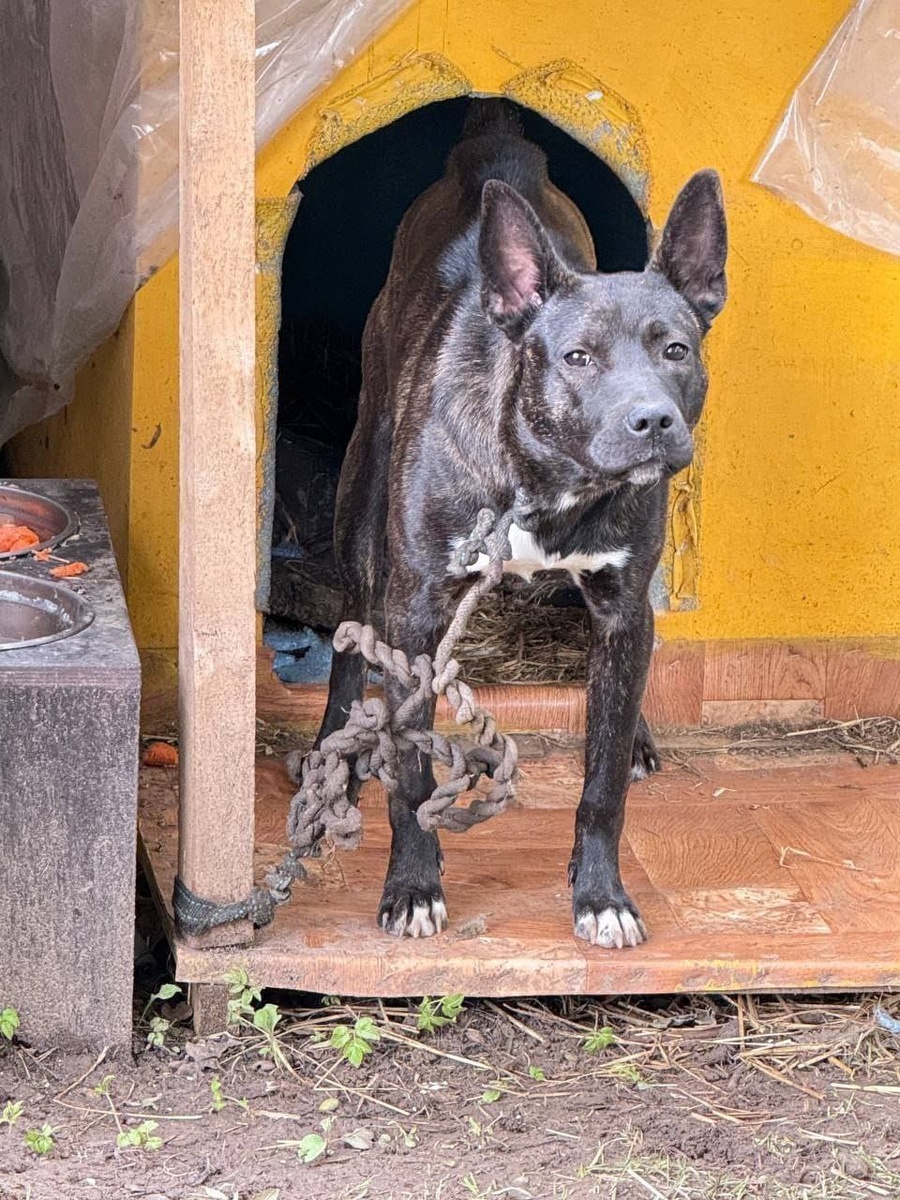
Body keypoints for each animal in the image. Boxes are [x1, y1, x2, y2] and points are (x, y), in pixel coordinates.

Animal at [314, 99, 727, 947]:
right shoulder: (413, 611)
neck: (548, 482)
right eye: (577, 357)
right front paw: (412, 885)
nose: (653, 421)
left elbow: (601, 780)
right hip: (360, 502)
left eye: (676, 350)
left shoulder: (623, 607)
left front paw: (600, 893)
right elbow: (413, 774)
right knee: (347, 631)